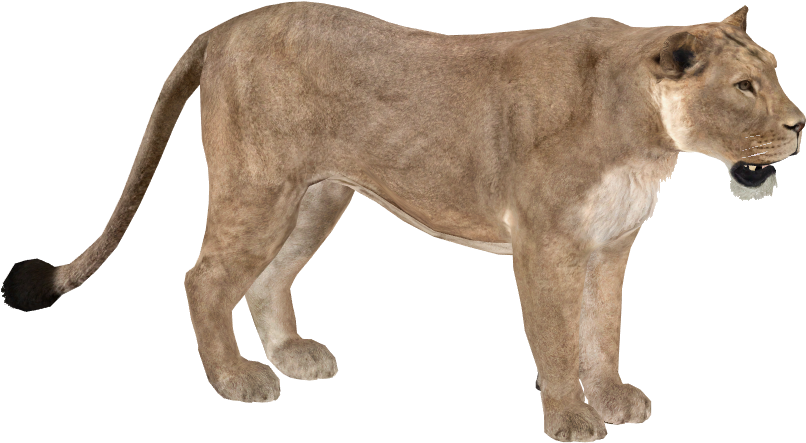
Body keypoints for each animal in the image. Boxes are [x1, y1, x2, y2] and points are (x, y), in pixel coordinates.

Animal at [3, 3, 802, 441]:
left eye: (774, 72)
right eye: (744, 86)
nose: (801, 125)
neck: (644, 131)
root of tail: (223, 27)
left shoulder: (610, 247)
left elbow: (603, 331)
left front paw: (612, 399)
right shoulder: (545, 242)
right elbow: (555, 338)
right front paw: (572, 421)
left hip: (316, 197)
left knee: (266, 279)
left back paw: (291, 356)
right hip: (259, 188)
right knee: (203, 279)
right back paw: (237, 378)